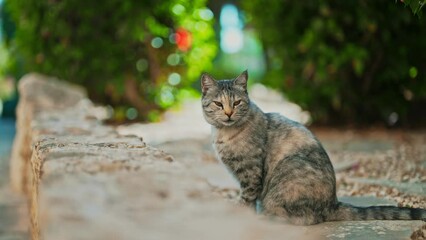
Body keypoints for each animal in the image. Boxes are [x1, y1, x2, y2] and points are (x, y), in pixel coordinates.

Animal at [201, 69, 426, 225]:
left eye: (237, 103)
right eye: (219, 104)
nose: (229, 113)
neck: (223, 134)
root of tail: (333, 203)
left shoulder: (250, 174)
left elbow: (246, 198)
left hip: (286, 177)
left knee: (303, 218)